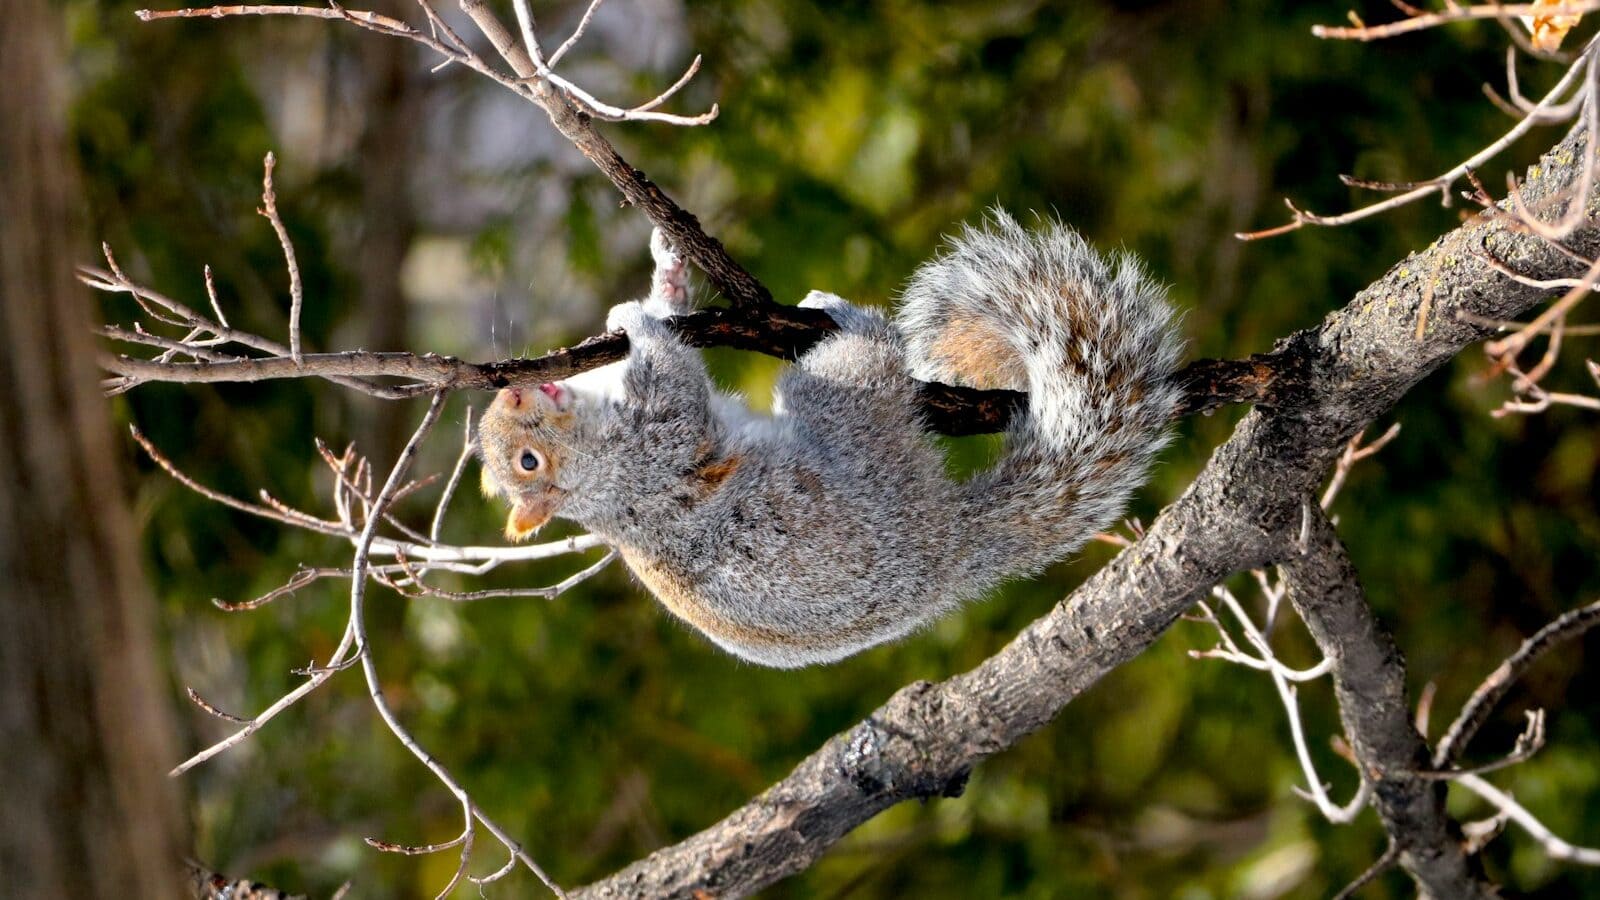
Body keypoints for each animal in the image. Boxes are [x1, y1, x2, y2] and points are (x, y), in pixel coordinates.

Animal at [477, 212, 1184, 668]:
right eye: (528, 463)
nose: (513, 394)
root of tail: (948, 540)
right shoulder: (652, 454)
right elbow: (676, 391)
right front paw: (642, 322)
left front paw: (663, 285)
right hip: (842, 416)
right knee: (870, 362)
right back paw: (855, 321)